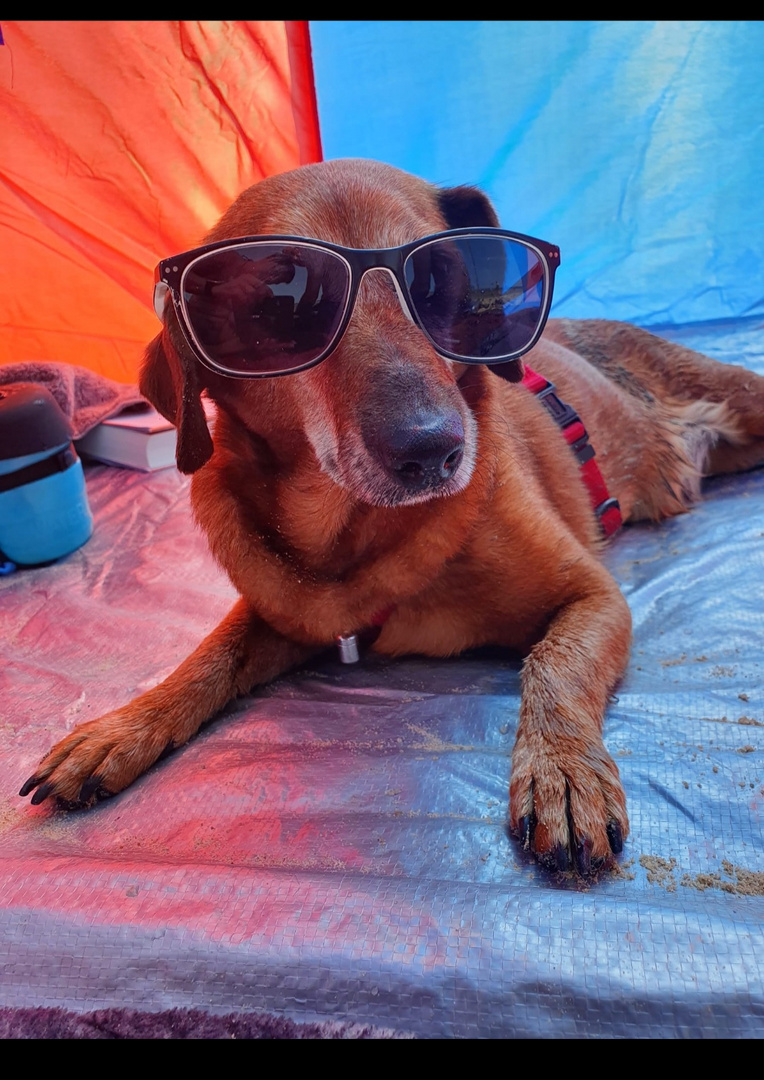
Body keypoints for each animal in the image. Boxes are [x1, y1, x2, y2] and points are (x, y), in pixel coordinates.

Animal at [19, 156, 764, 872]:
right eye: (282, 302)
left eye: (438, 279)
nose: (433, 449)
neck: (358, 535)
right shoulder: (288, 614)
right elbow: (209, 654)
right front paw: (122, 726)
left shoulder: (595, 596)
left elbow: (555, 664)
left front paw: (562, 770)